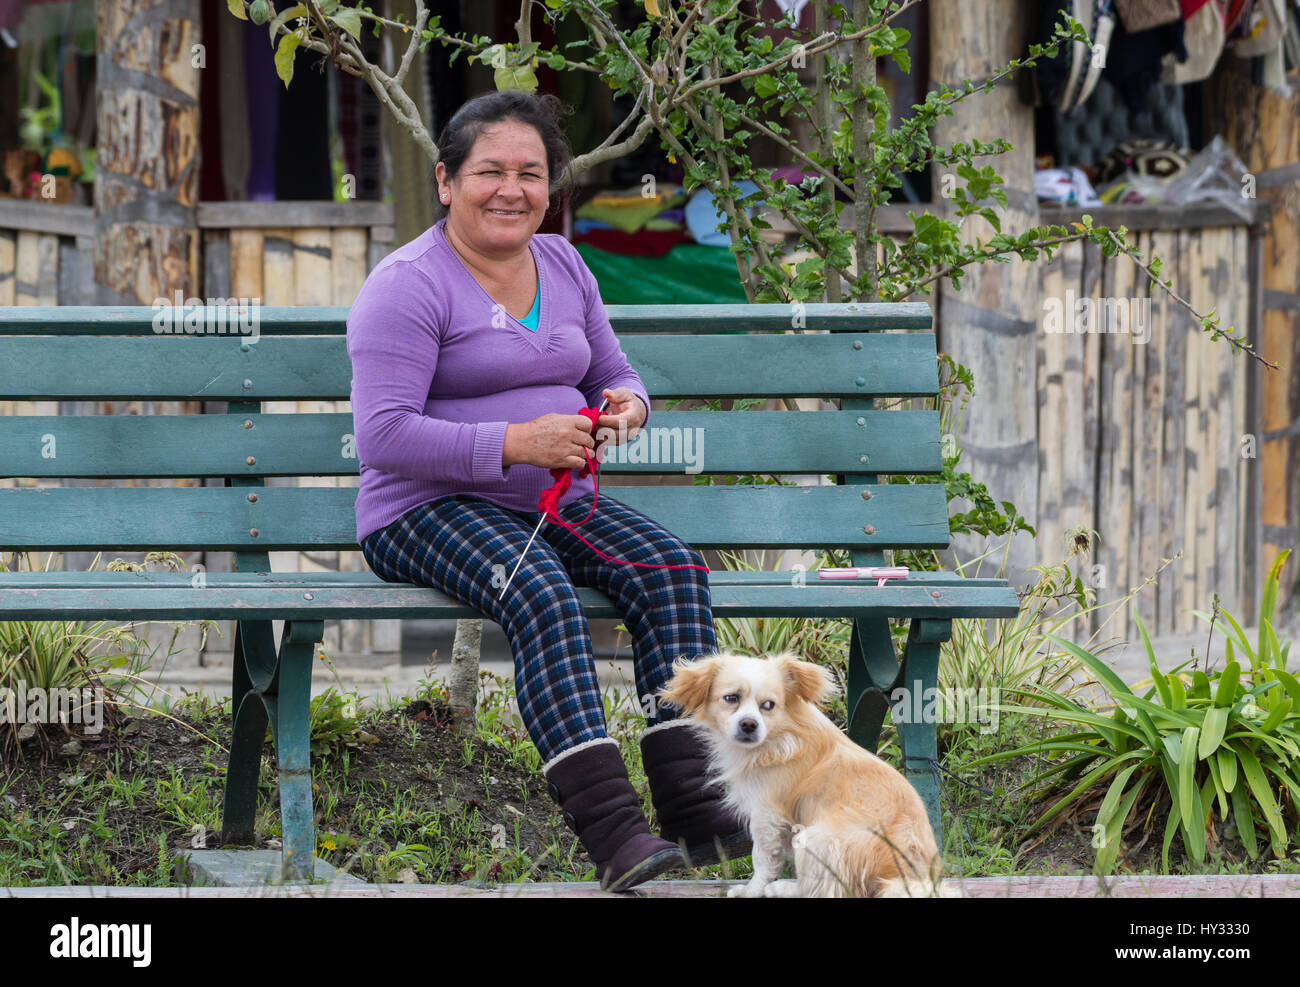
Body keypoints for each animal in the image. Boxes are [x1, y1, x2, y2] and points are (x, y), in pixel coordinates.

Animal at [665, 652, 951, 899]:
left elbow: (762, 859)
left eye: (768, 706)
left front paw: (751, 891)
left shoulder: (766, 815)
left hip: (812, 838)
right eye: (731, 698)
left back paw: (783, 888)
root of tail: (904, 877)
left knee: (830, 890)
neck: (777, 736)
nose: (749, 724)